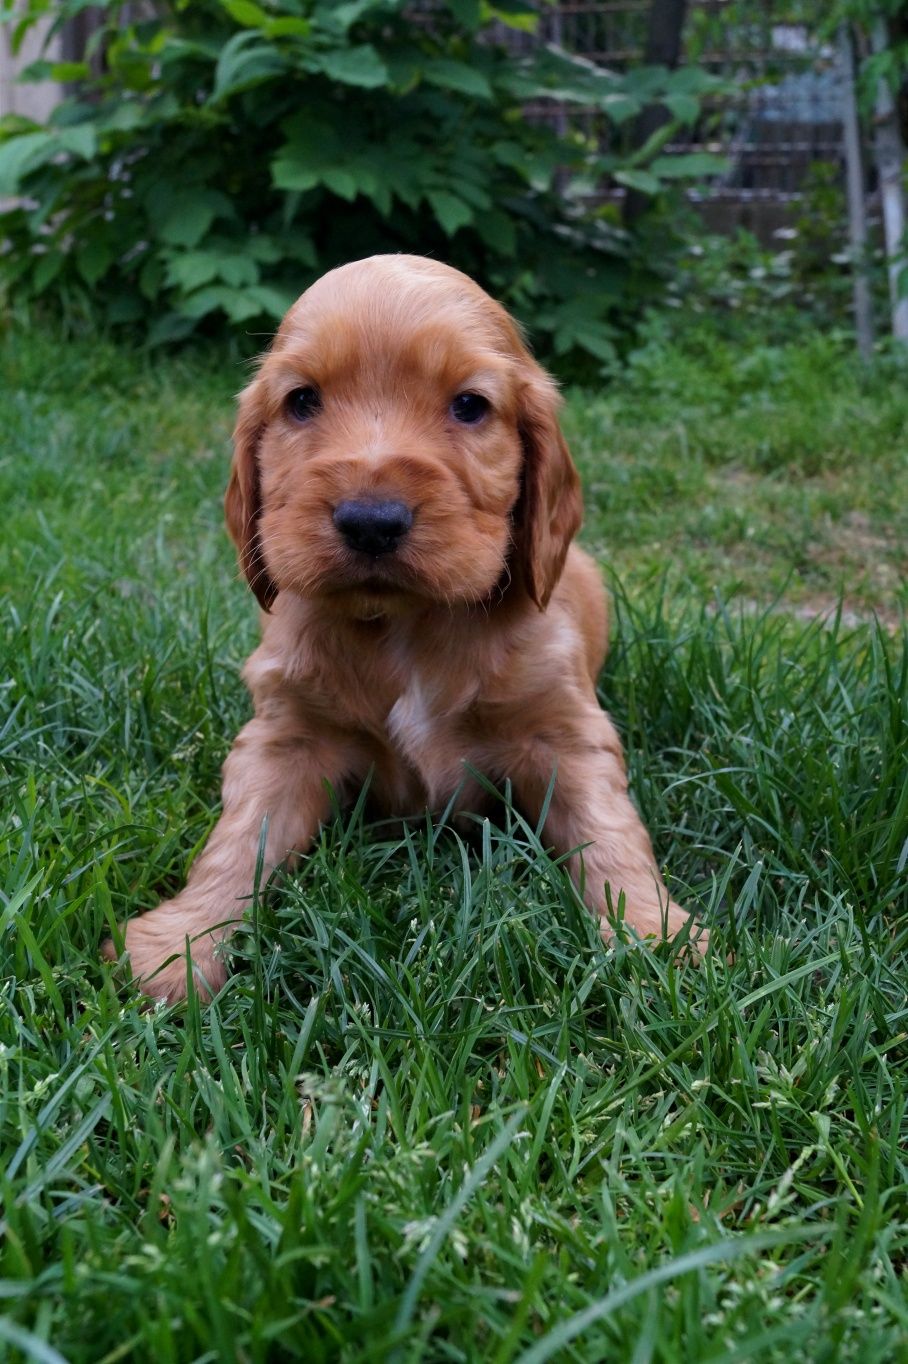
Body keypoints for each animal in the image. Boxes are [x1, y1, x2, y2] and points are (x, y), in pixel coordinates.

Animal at [106, 257, 698, 1003]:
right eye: (302, 401)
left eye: (470, 405)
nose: (371, 521)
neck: (406, 624)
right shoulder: (287, 736)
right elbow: (240, 840)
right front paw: (180, 946)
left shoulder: (563, 732)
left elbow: (610, 830)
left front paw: (653, 936)